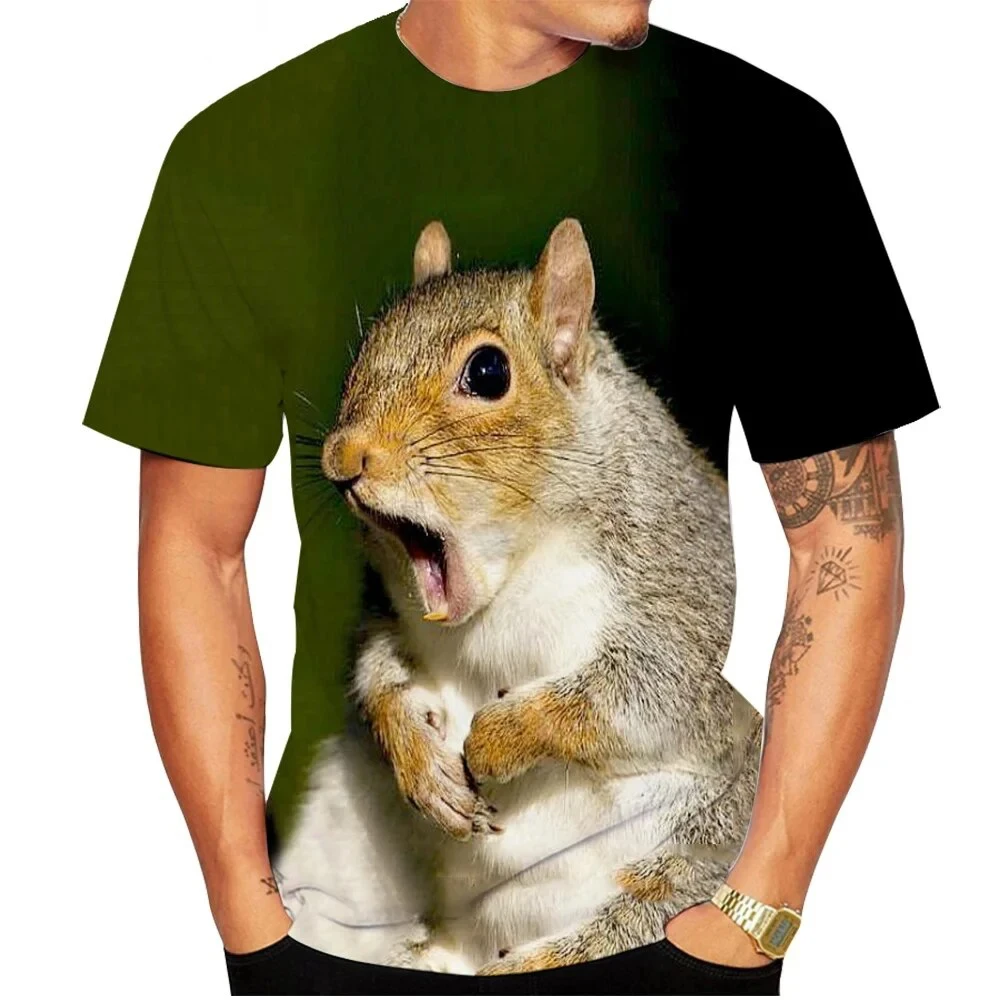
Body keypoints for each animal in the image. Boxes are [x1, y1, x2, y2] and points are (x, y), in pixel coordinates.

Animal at [275, 219, 761, 975]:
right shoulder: (387, 610)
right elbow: (380, 673)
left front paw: (500, 740)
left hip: (697, 854)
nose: (343, 457)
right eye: (365, 349)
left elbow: (639, 694)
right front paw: (422, 761)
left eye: (487, 373)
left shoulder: (692, 599)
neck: (508, 578)